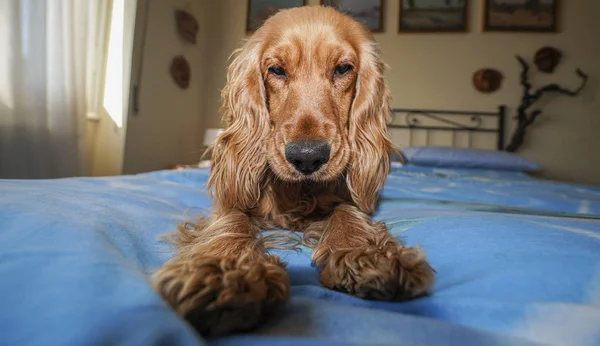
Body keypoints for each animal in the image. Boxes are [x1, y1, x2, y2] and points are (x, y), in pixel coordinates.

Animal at [152, 4, 434, 336]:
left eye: (343, 68)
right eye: (277, 70)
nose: (308, 157)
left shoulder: (347, 198)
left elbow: (347, 212)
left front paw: (364, 253)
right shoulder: (228, 205)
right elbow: (232, 221)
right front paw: (227, 272)